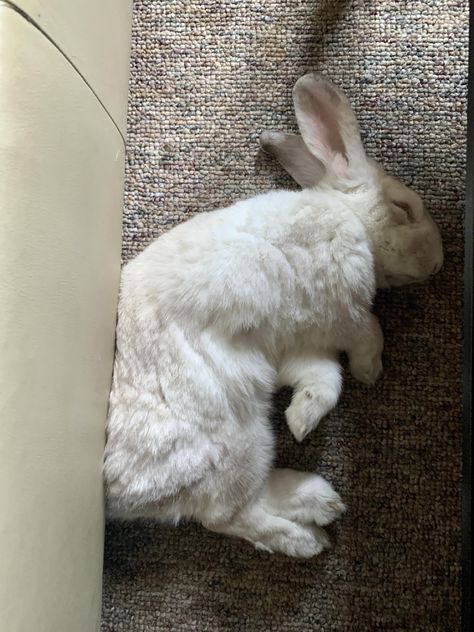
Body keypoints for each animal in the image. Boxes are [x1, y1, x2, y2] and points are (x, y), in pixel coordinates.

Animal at [103, 75, 444, 556]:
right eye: (404, 208)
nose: (439, 263)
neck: (351, 219)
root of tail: (113, 494)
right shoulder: (340, 310)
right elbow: (368, 333)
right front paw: (370, 371)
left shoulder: (302, 345)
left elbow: (324, 381)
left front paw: (301, 421)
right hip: (239, 442)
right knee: (231, 518)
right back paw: (307, 539)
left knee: (245, 502)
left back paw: (321, 502)